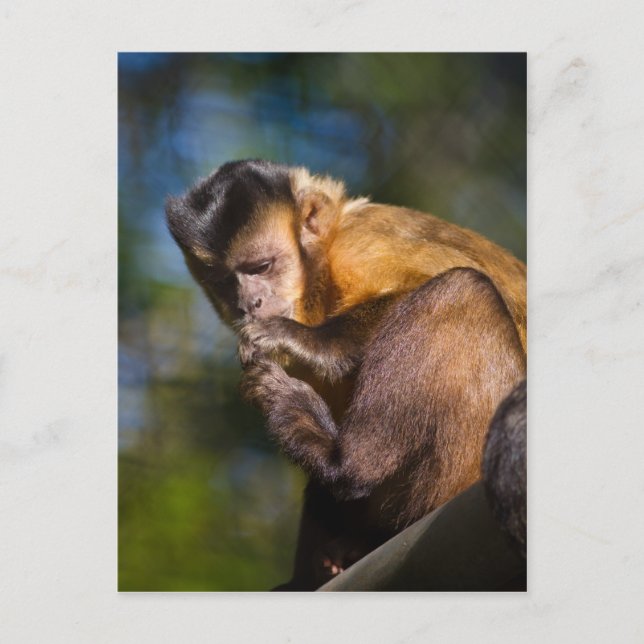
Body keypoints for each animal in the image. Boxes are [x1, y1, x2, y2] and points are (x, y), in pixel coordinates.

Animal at [166, 159, 526, 590]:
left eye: (261, 268)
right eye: (224, 283)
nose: (247, 304)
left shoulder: (362, 242)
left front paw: (307, 341)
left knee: (463, 288)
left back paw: (345, 463)